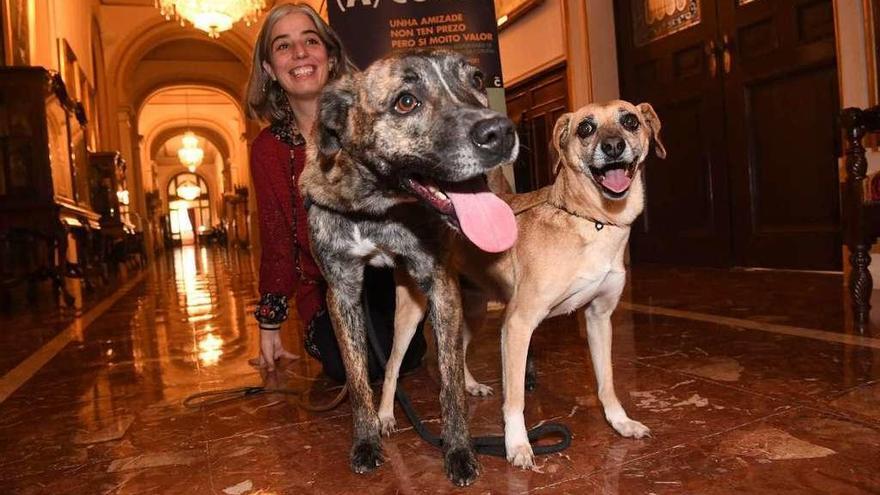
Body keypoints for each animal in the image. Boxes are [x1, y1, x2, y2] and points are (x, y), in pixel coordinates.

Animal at [300, 51, 520, 488]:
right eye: (406, 102)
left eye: (477, 79)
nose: (501, 133)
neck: (378, 205)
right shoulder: (343, 293)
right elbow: (358, 380)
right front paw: (366, 441)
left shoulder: (440, 284)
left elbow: (450, 383)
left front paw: (459, 451)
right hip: (408, 315)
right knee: (393, 364)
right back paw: (386, 414)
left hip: (463, 304)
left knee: (457, 352)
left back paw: (471, 382)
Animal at [378, 100, 668, 468]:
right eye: (585, 128)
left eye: (630, 121)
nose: (613, 146)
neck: (591, 220)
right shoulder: (518, 324)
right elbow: (515, 396)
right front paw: (517, 444)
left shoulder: (598, 318)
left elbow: (607, 382)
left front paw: (619, 421)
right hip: (410, 316)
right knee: (391, 367)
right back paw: (384, 416)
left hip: (472, 311)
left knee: (459, 351)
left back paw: (469, 385)